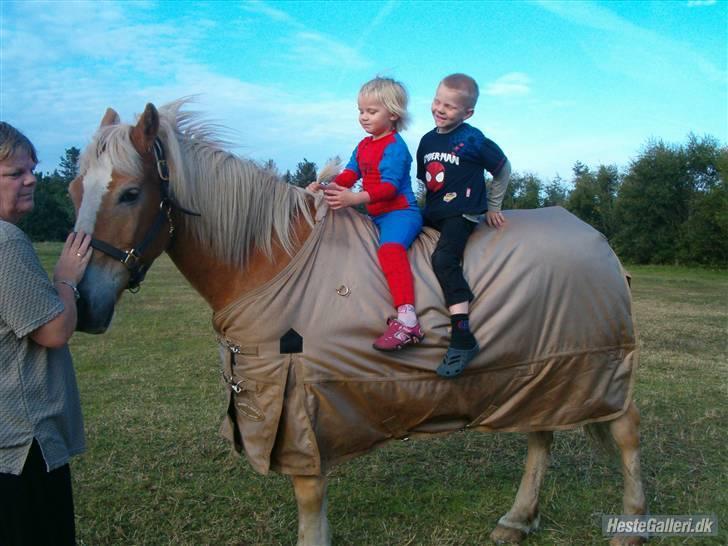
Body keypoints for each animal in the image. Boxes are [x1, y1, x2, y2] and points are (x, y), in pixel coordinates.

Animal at [71, 100, 644, 540]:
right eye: (77, 191)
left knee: (625, 433)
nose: (82, 303)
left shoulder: (301, 407)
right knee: (542, 433)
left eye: (130, 192)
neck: (269, 261)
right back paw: (518, 519)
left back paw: (632, 525)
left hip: (592, 366)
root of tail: (598, 240)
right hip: (542, 367)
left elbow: (310, 507)